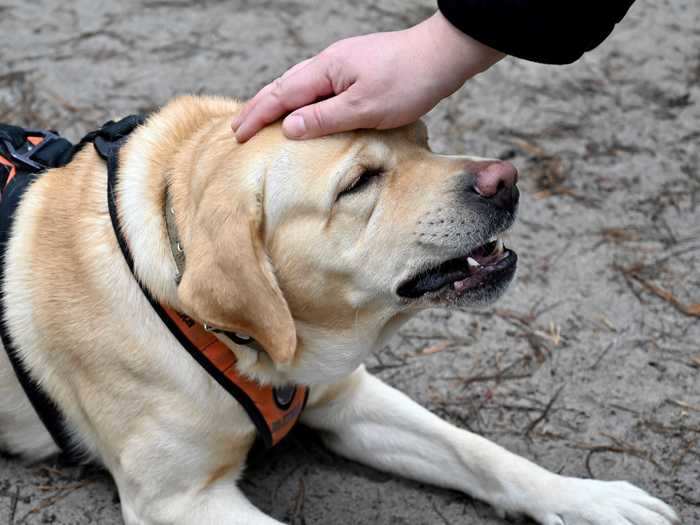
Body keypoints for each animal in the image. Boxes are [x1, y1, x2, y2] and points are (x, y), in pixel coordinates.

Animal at [0, 95, 680, 524]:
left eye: (422, 138)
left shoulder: (347, 398)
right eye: (358, 183)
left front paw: (587, 498)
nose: (506, 179)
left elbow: (480, 452)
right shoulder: (178, 500)